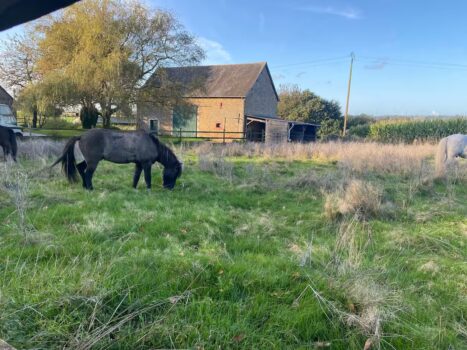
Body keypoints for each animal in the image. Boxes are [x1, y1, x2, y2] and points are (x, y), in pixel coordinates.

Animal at [51, 129, 181, 190]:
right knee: (88, 174)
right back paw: (90, 188)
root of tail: (81, 136)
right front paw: (149, 190)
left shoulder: (139, 164)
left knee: (80, 168)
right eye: (174, 173)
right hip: (93, 162)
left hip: (89, 160)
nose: (169, 188)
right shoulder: (146, 164)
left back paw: (85, 186)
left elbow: (136, 177)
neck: (151, 143)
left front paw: (133, 188)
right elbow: (147, 178)